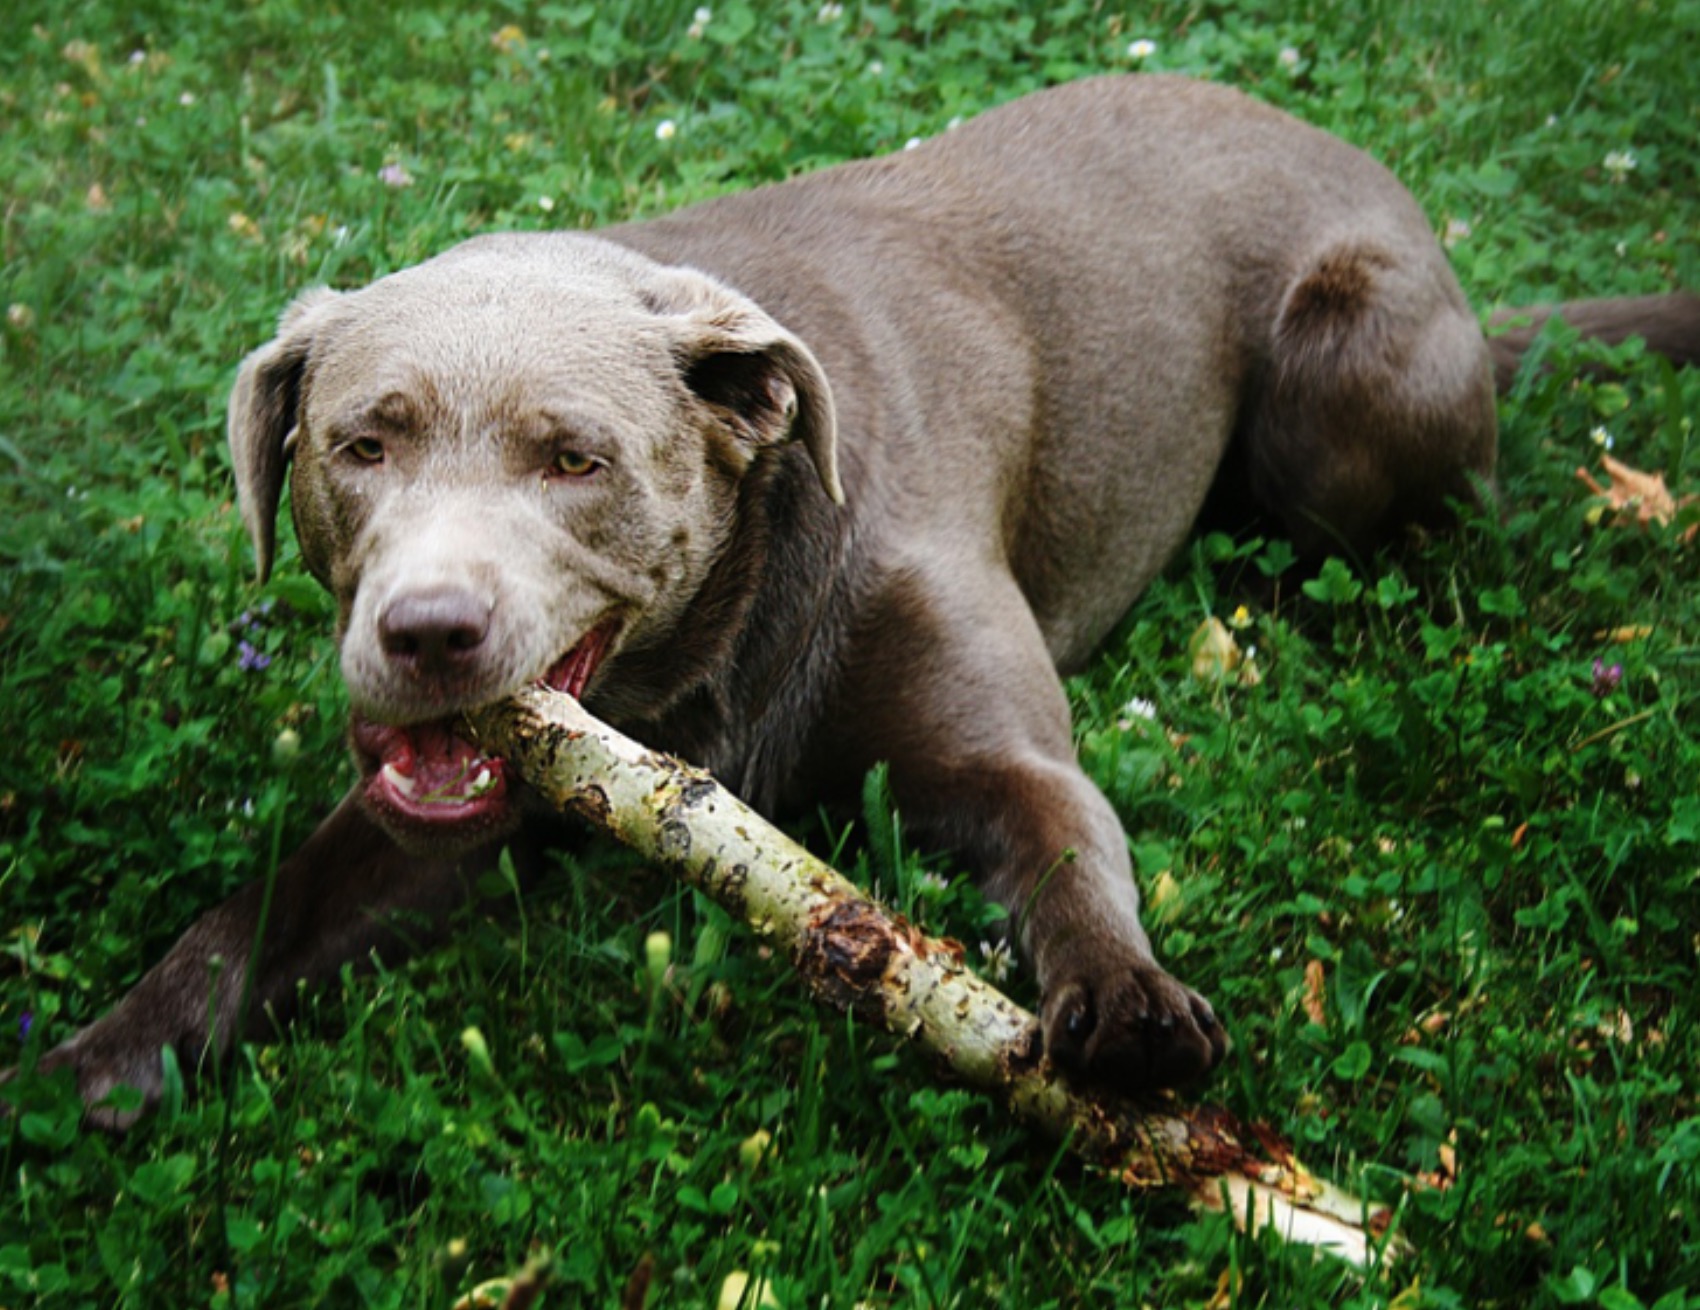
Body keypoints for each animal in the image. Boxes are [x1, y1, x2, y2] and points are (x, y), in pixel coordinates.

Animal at [16, 71, 1700, 1128]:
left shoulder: (995, 748)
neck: (703, 666)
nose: (427, 634)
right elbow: (253, 908)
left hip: (1351, 394)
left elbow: (1064, 839)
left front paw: (1129, 1005)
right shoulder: (455, 814)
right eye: (360, 445)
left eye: (574, 458)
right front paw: (101, 1059)